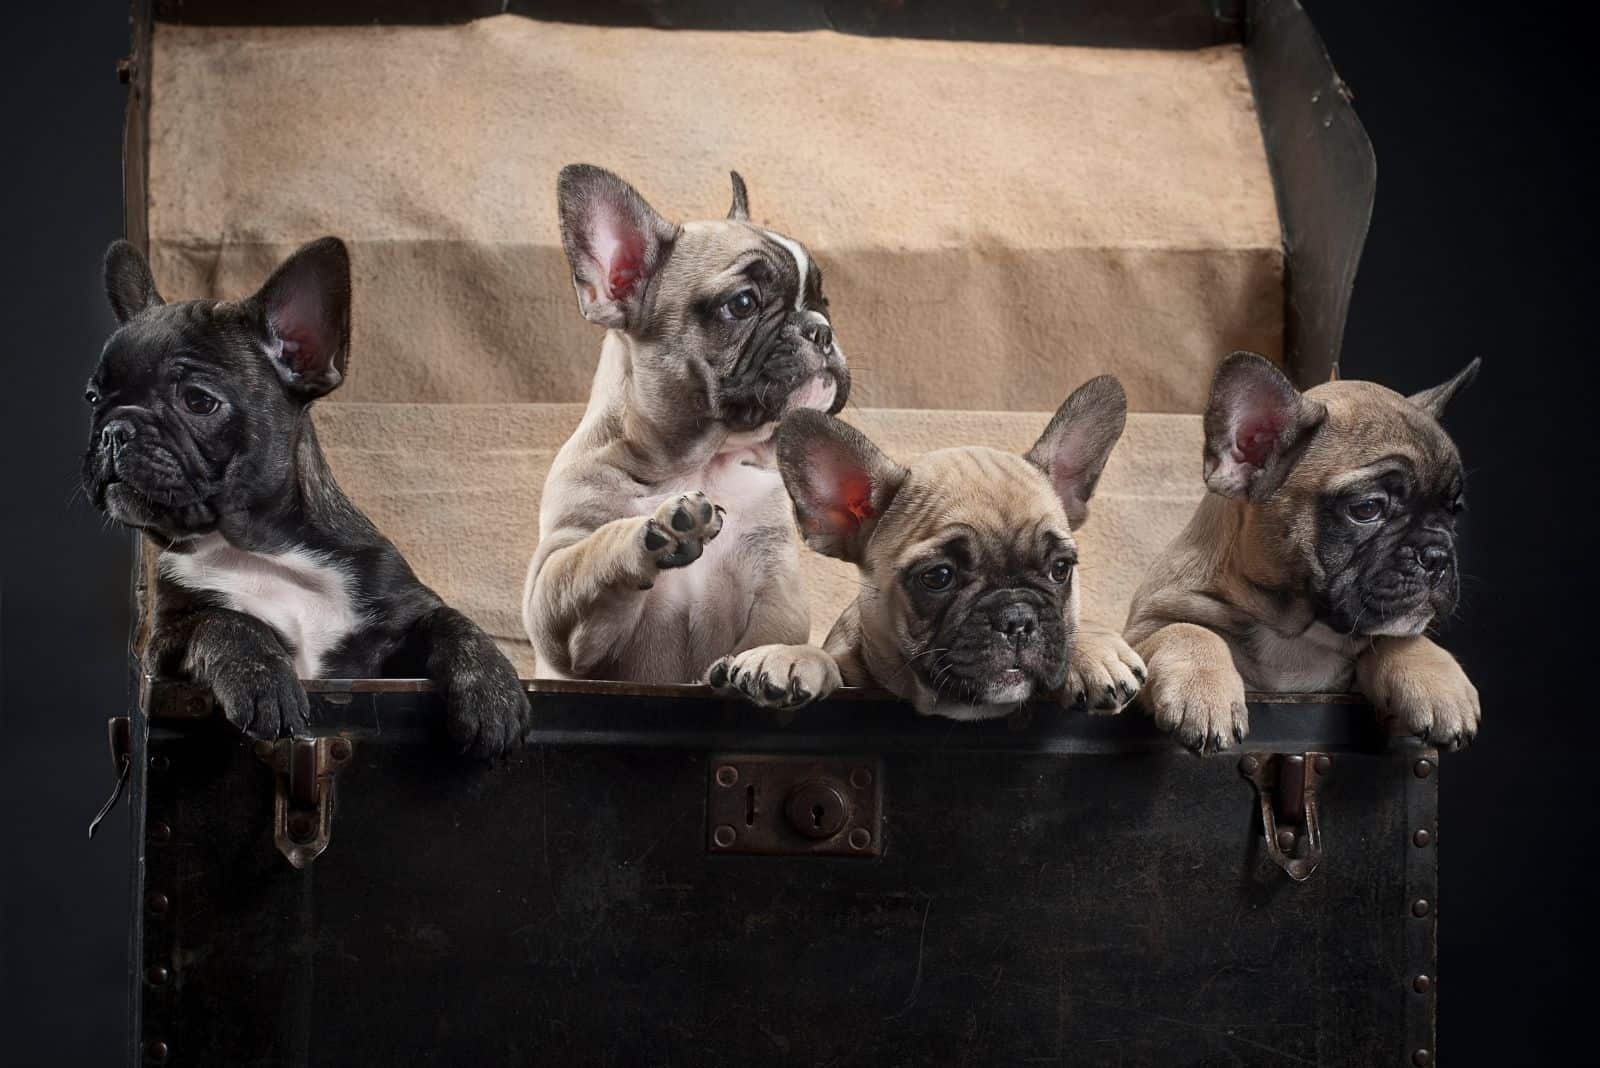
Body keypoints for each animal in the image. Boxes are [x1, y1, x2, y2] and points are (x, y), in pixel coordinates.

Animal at [84, 235, 531, 751]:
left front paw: (493, 691)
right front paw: (263, 682)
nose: (114, 430)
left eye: (198, 401)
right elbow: (225, 621)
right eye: (92, 398)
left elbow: (453, 621)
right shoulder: (166, 643)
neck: (261, 549)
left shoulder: (399, 618)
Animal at [524, 167, 851, 684]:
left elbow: (774, 630)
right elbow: (588, 556)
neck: (701, 461)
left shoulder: (775, 582)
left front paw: (772, 662)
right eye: (743, 303)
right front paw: (656, 530)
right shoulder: (554, 590)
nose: (821, 330)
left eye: (824, 302)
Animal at [1126, 350, 1472, 751]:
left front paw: (1441, 684)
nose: (1437, 555)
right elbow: (1187, 630)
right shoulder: (1141, 633)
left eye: (1453, 511)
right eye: (1367, 508)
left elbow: (1397, 638)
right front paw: (1203, 692)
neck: (1294, 631)